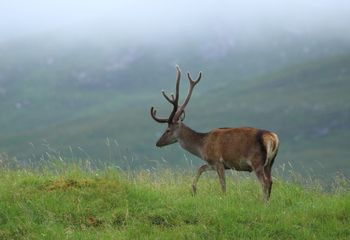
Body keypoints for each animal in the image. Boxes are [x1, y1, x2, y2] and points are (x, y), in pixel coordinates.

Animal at [150, 65, 278, 201]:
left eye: (167, 130)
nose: (157, 143)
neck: (202, 147)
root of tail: (273, 138)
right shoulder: (211, 163)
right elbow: (200, 168)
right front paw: (193, 189)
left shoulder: (218, 161)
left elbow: (223, 184)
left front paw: (223, 198)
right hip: (270, 162)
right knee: (270, 181)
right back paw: (268, 201)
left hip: (257, 161)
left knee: (264, 182)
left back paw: (263, 202)